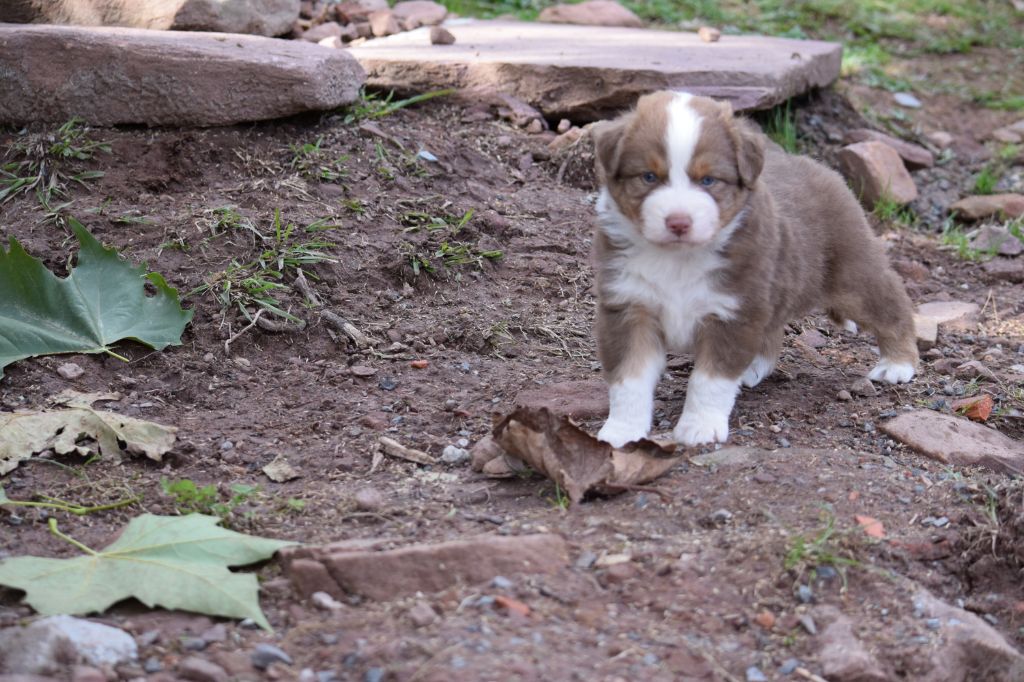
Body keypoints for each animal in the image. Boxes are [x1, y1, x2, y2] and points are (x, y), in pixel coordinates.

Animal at [593, 91, 921, 450]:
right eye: (649, 177)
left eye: (708, 180)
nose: (678, 222)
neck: (679, 259)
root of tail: (821, 168)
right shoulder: (629, 307)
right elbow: (629, 379)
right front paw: (622, 431)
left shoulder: (733, 311)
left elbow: (708, 381)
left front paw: (699, 427)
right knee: (773, 329)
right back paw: (753, 368)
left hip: (852, 274)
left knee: (891, 305)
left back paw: (897, 364)